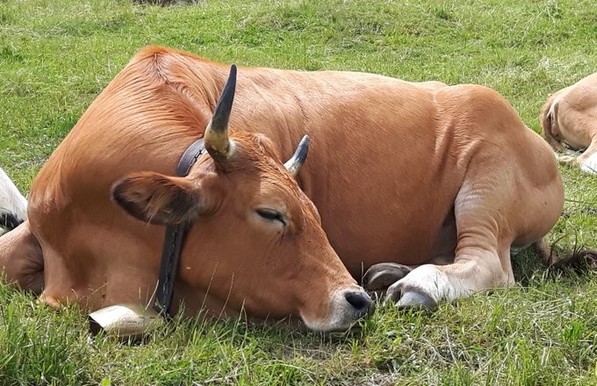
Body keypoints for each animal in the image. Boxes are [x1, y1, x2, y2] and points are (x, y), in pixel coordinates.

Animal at [0, 45, 564, 334]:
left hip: (486, 182)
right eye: (271, 213)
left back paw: (417, 284)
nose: (356, 299)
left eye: (312, 210)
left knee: (490, 263)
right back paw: (390, 272)